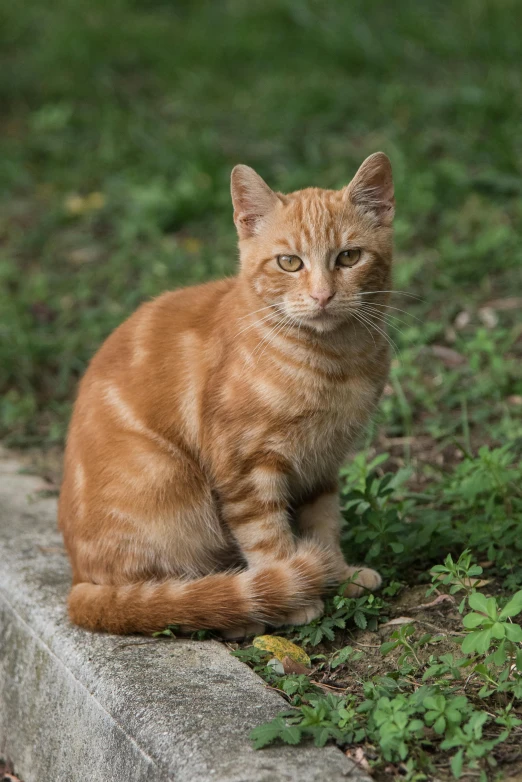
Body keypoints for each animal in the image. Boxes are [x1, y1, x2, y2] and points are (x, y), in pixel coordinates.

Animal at [58, 152, 390, 636]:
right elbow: (267, 536)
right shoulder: (245, 465)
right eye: (289, 263)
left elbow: (324, 521)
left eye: (349, 257)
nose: (323, 296)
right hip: (170, 483)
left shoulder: (323, 462)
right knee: (173, 599)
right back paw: (241, 614)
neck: (335, 361)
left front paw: (339, 572)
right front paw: (294, 593)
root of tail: (79, 583)